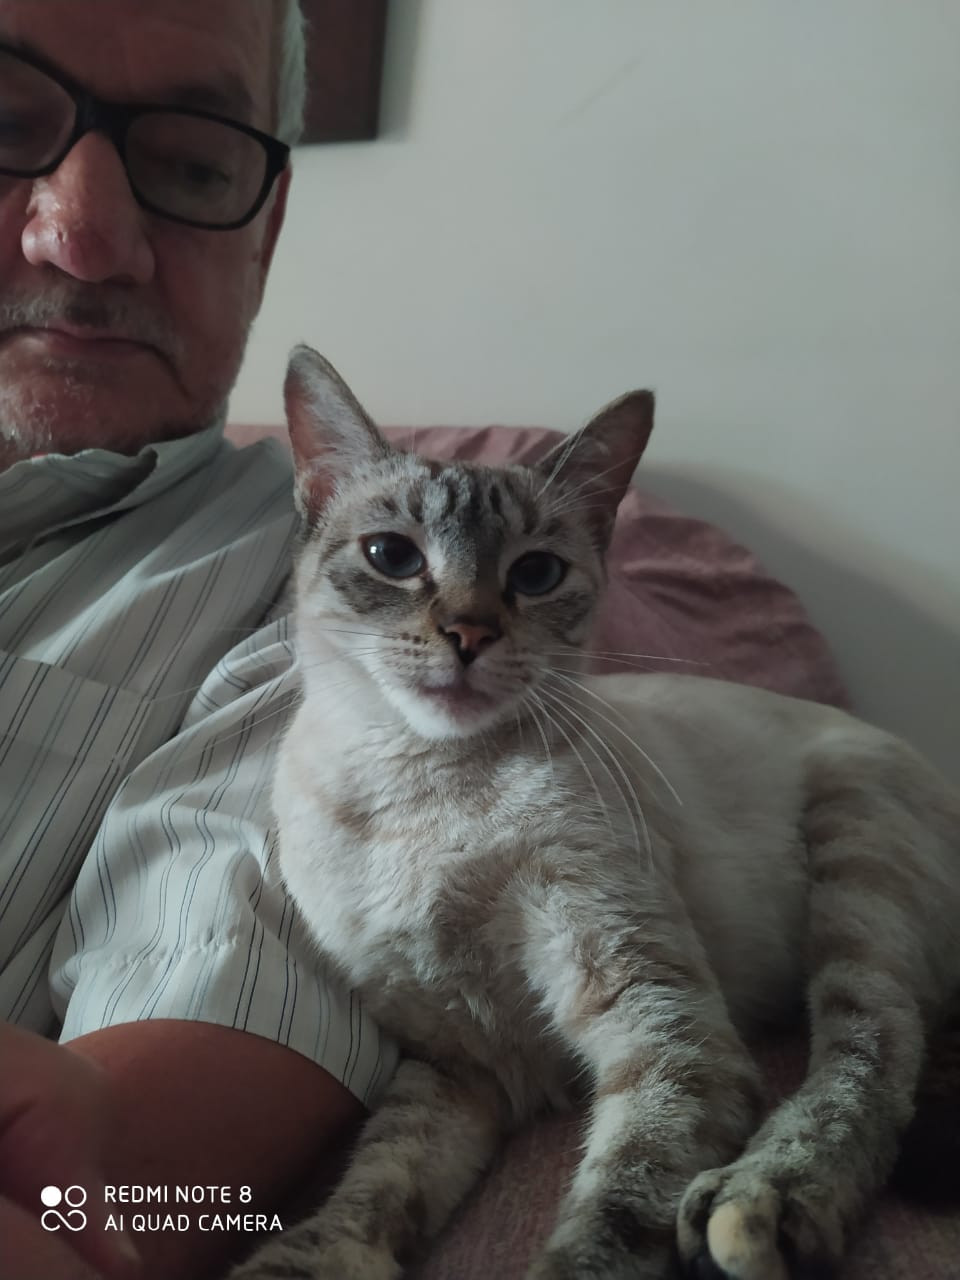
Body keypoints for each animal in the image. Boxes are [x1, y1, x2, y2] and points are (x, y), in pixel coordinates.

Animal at [231, 344, 960, 1280]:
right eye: (392, 556)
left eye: (535, 574)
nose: (468, 633)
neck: (426, 792)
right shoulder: (461, 1065)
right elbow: (374, 1182)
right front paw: (306, 1258)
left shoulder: (663, 1034)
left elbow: (610, 1216)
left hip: (856, 863)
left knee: (872, 1050)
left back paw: (760, 1206)